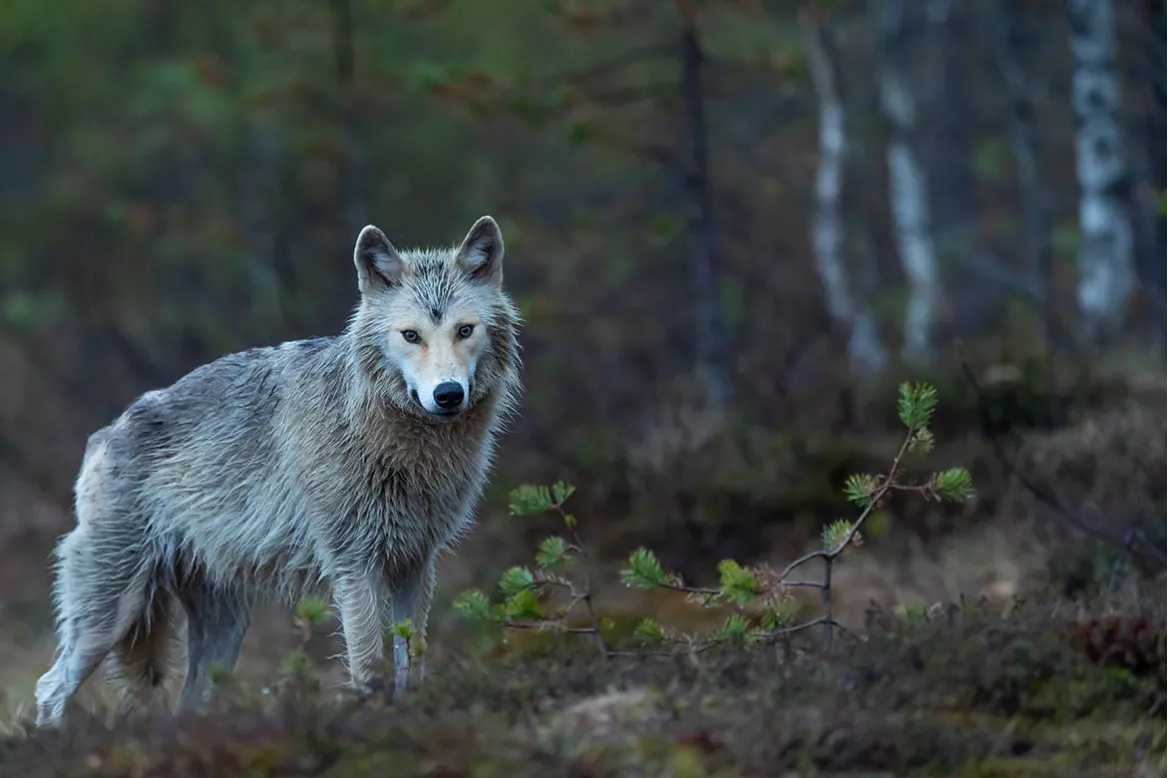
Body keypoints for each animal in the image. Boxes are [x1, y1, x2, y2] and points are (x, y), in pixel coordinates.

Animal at [33, 215, 523, 728]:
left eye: (464, 330)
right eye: (411, 336)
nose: (448, 394)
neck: (397, 443)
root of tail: (105, 432)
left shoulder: (417, 563)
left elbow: (414, 660)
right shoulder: (354, 565)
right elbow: (370, 667)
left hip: (223, 630)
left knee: (187, 700)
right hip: (110, 614)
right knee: (49, 688)